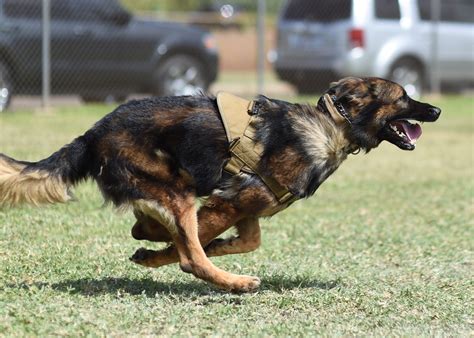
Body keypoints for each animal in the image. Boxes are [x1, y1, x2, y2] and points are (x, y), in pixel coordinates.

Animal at [0, 78, 440, 292]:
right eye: (403, 96)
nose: (435, 110)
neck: (331, 125)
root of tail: (92, 134)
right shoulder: (233, 201)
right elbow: (190, 246)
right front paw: (171, 253)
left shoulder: (249, 204)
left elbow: (248, 241)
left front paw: (217, 245)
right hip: (178, 189)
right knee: (188, 254)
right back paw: (235, 283)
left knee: (149, 227)